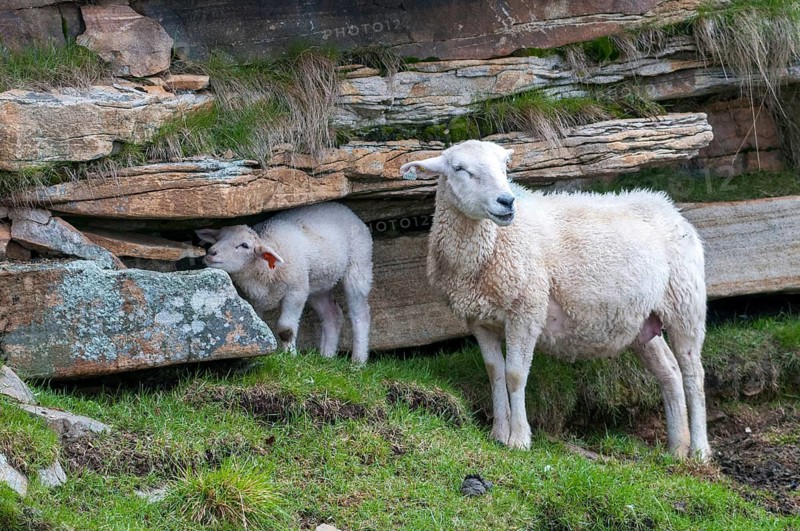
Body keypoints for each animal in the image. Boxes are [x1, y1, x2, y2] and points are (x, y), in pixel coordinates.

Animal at [196, 202, 373, 364]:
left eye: (244, 245)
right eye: (218, 239)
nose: (211, 253)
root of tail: (342, 207)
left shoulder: (295, 292)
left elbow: (285, 329)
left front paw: (290, 357)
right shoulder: (255, 300)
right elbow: (256, 324)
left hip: (359, 264)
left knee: (360, 314)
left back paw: (358, 361)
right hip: (316, 283)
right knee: (332, 315)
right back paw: (327, 357)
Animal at [399, 140, 711, 460]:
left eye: (504, 167)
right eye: (460, 168)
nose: (506, 201)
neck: (491, 246)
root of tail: (667, 205)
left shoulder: (527, 309)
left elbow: (514, 374)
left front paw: (519, 439)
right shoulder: (479, 319)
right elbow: (495, 373)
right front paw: (498, 434)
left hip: (685, 304)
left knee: (693, 374)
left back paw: (699, 450)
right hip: (642, 321)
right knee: (669, 372)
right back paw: (677, 448)